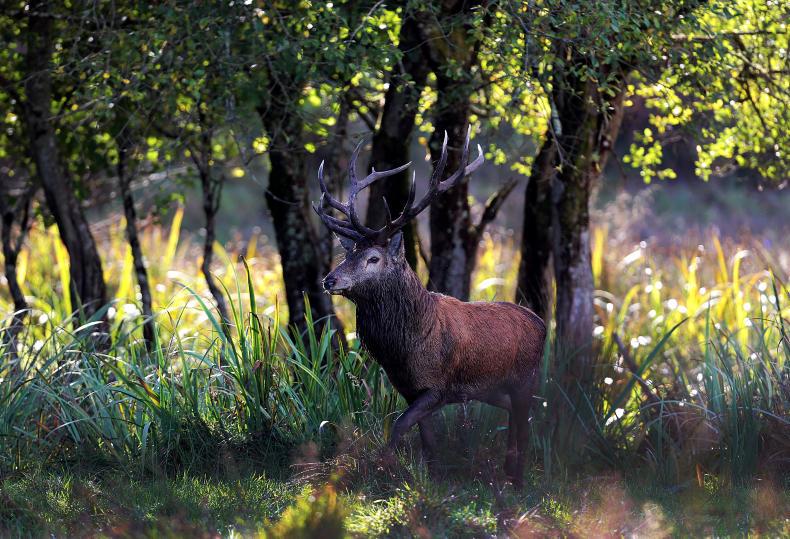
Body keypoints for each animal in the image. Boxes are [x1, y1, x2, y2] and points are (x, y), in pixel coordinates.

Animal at [313, 130, 546, 488]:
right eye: (347, 254)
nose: (329, 280)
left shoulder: (438, 387)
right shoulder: (410, 389)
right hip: (495, 387)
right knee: (515, 416)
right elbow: (427, 442)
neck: (405, 349)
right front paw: (431, 482)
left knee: (524, 422)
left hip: (526, 378)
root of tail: (543, 324)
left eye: (373, 258)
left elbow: (398, 426)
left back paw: (518, 481)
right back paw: (508, 472)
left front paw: (383, 470)